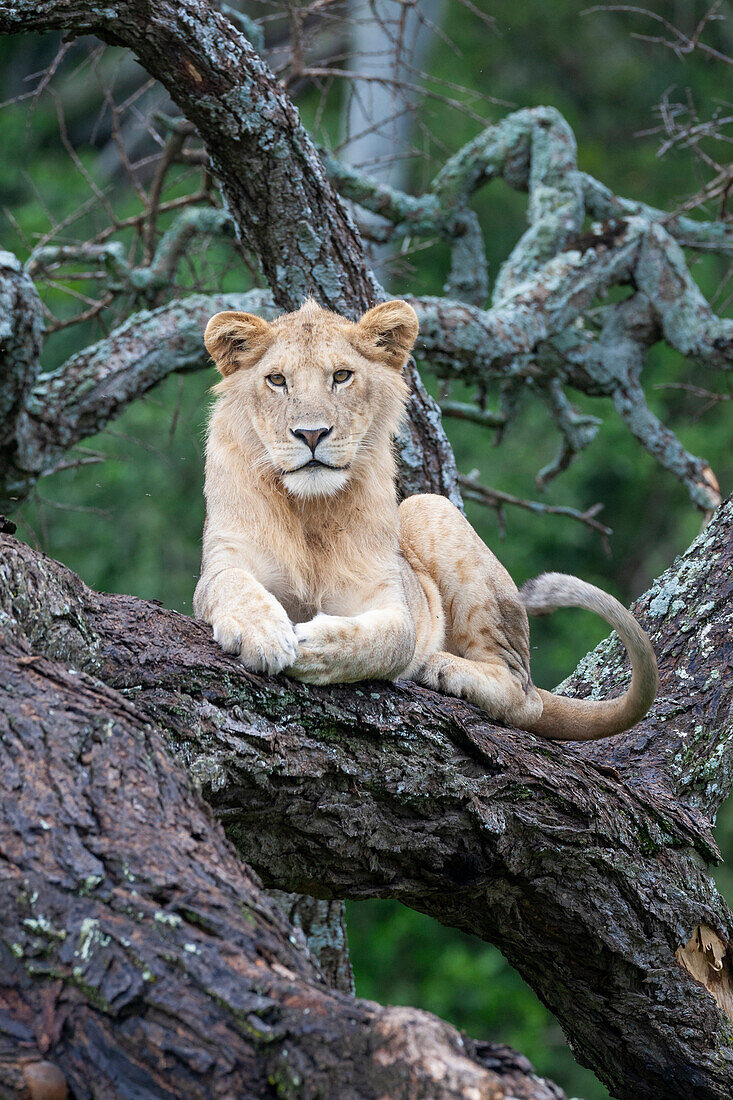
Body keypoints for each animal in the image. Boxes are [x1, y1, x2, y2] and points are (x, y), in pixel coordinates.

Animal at [195, 297, 655, 739]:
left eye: (341, 376)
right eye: (276, 380)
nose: (311, 434)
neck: (310, 508)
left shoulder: (387, 594)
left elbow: (392, 639)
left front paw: (312, 644)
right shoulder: (226, 557)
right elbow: (229, 584)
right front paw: (265, 633)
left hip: (429, 507)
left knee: (524, 694)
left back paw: (440, 668)